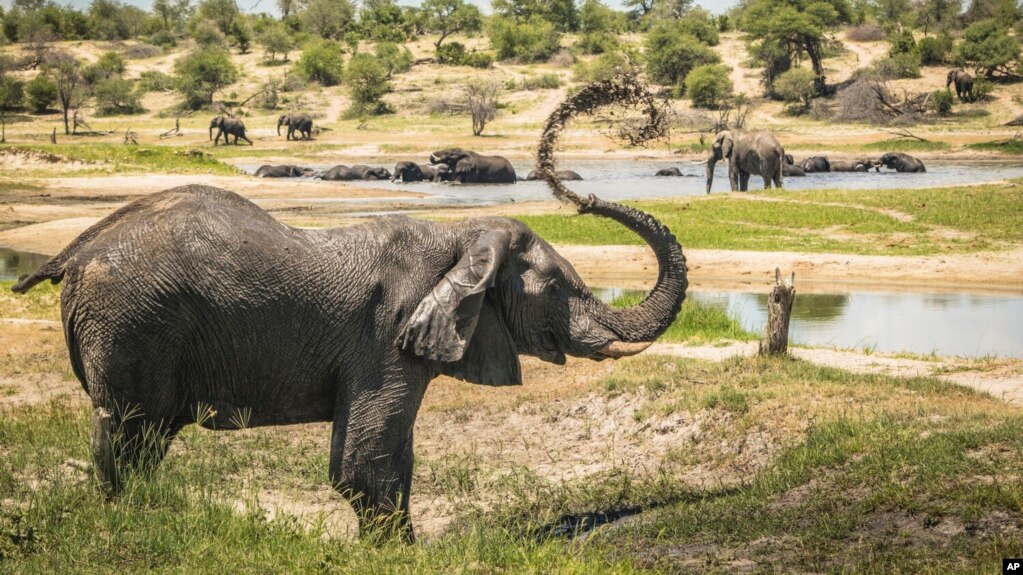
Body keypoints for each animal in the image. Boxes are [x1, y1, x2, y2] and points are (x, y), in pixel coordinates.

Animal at [12, 80, 683, 540]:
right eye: (558, 288)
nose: (576, 191)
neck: (458, 233)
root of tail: (77, 250)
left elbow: (392, 457)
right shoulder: (386, 335)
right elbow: (365, 465)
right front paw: (403, 555)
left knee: (136, 438)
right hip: (133, 324)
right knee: (128, 435)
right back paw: (131, 521)